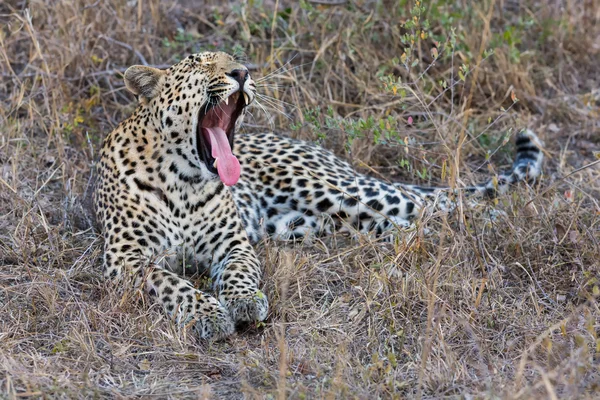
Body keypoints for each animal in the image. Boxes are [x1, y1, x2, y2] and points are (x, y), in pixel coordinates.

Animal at [94, 49, 544, 338]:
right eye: (198, 63)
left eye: (232, 59)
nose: (242, 71)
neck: (183, 179)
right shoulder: (126, 258)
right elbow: (172, 282)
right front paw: (209, 313)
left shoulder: (233, 244)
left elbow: (239, 272)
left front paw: (243, 302)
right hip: (320, 222)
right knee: (406, 222)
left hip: (339, 190)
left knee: (429, 204)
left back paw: (496, 224)